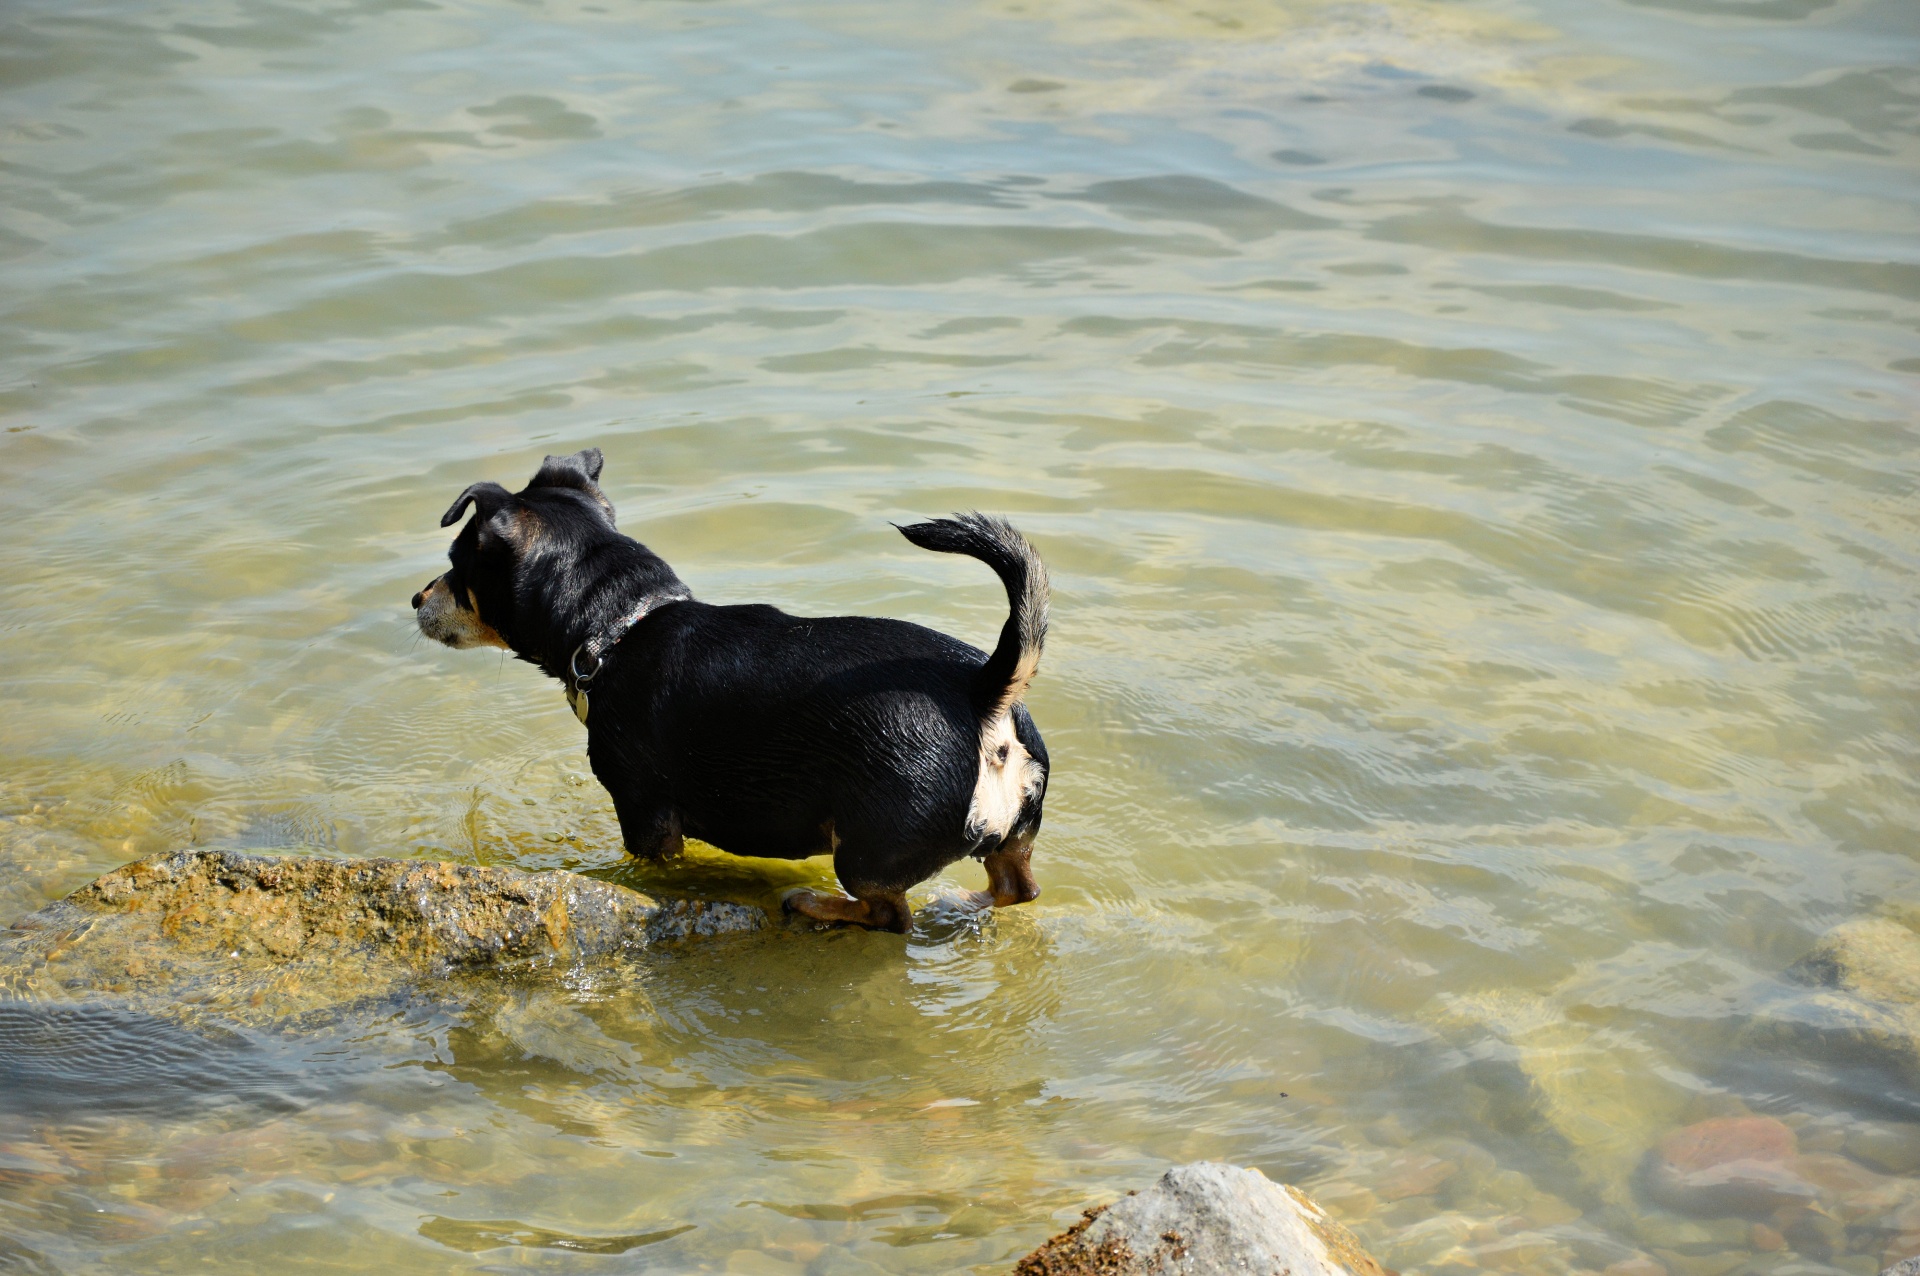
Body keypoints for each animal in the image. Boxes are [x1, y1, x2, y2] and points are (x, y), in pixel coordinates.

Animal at [407, 452, 1059, 932]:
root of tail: (984, 690)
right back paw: (962, 904)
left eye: (457, 562)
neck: (621, 624)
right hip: (1009, 835)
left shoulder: (646, 819)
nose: (416, 597)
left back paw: (817, 905)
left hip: (865, 852)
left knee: (890, 914)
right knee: (1017, 887)